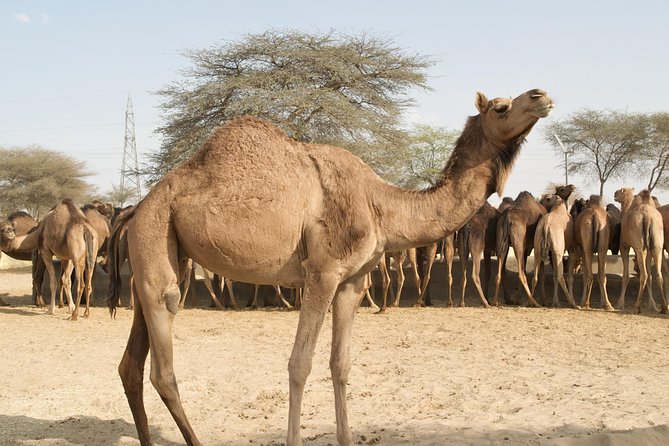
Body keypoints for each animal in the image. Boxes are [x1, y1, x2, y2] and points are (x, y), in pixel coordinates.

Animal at [106, 88, 553, 446]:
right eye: (499, 107)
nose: (541, 95)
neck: (379, 204)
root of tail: (135, 209)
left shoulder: (352, 281)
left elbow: (341, 363)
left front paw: (347, 437)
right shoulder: (322, 273)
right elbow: (299, 364)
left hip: (161, 256)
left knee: (131, 364)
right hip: (156, 237)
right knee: (162, 365)